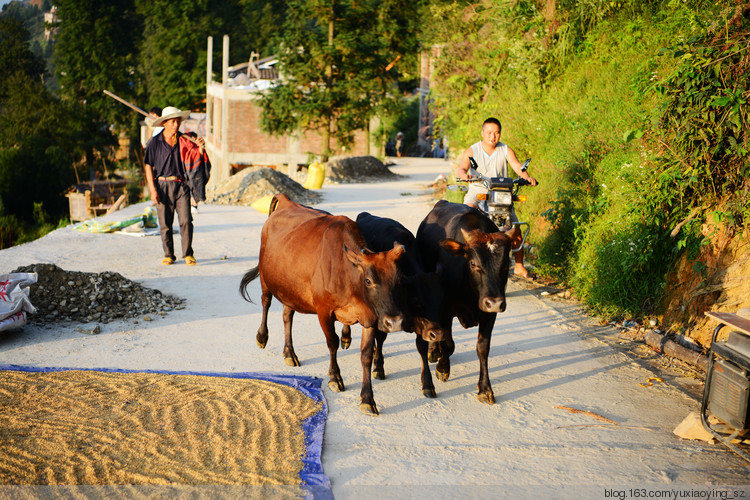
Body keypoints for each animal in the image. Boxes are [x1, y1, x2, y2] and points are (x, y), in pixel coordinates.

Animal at [241, 193, 406, 416]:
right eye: (368, 280)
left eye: (398, 279)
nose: (394, 322)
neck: (348, 275)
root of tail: (285, 201)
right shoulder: (324, 311)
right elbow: (332, 343)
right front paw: (335, 377)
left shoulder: (370, 317)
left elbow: (365, 355)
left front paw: (367, 399)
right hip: (266, 280)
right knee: (265, 303)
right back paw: (262, 337)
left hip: (289, 288)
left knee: (287, 317)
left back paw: (289, 353)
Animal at [418, 199, 516, 402]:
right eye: (473, 263)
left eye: (506, 265)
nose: (495, 302)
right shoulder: (446, 310)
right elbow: (448, 344)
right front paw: (442, 368)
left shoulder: (490, 315)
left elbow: (483, 349)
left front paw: (485, 388)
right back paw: (433, 352)